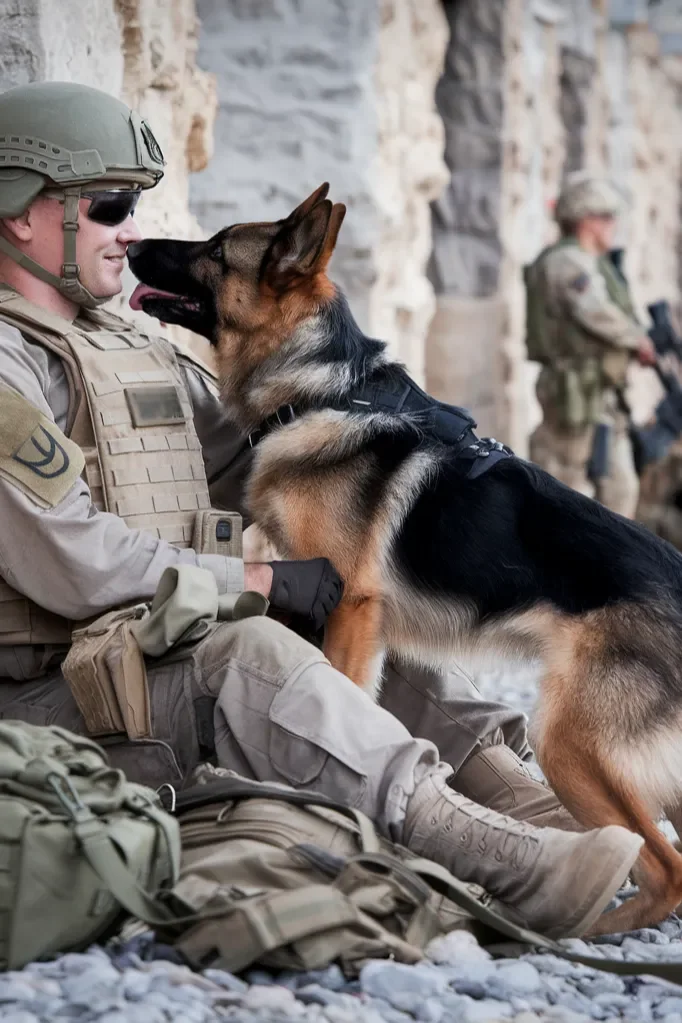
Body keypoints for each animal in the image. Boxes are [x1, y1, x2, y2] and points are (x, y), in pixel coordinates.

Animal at [127, 184, 682, 937]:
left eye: (215, 250)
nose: (127, 241)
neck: (327, 389)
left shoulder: (352, 609)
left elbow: (344, 699)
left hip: (570, 741)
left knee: (665, 870)